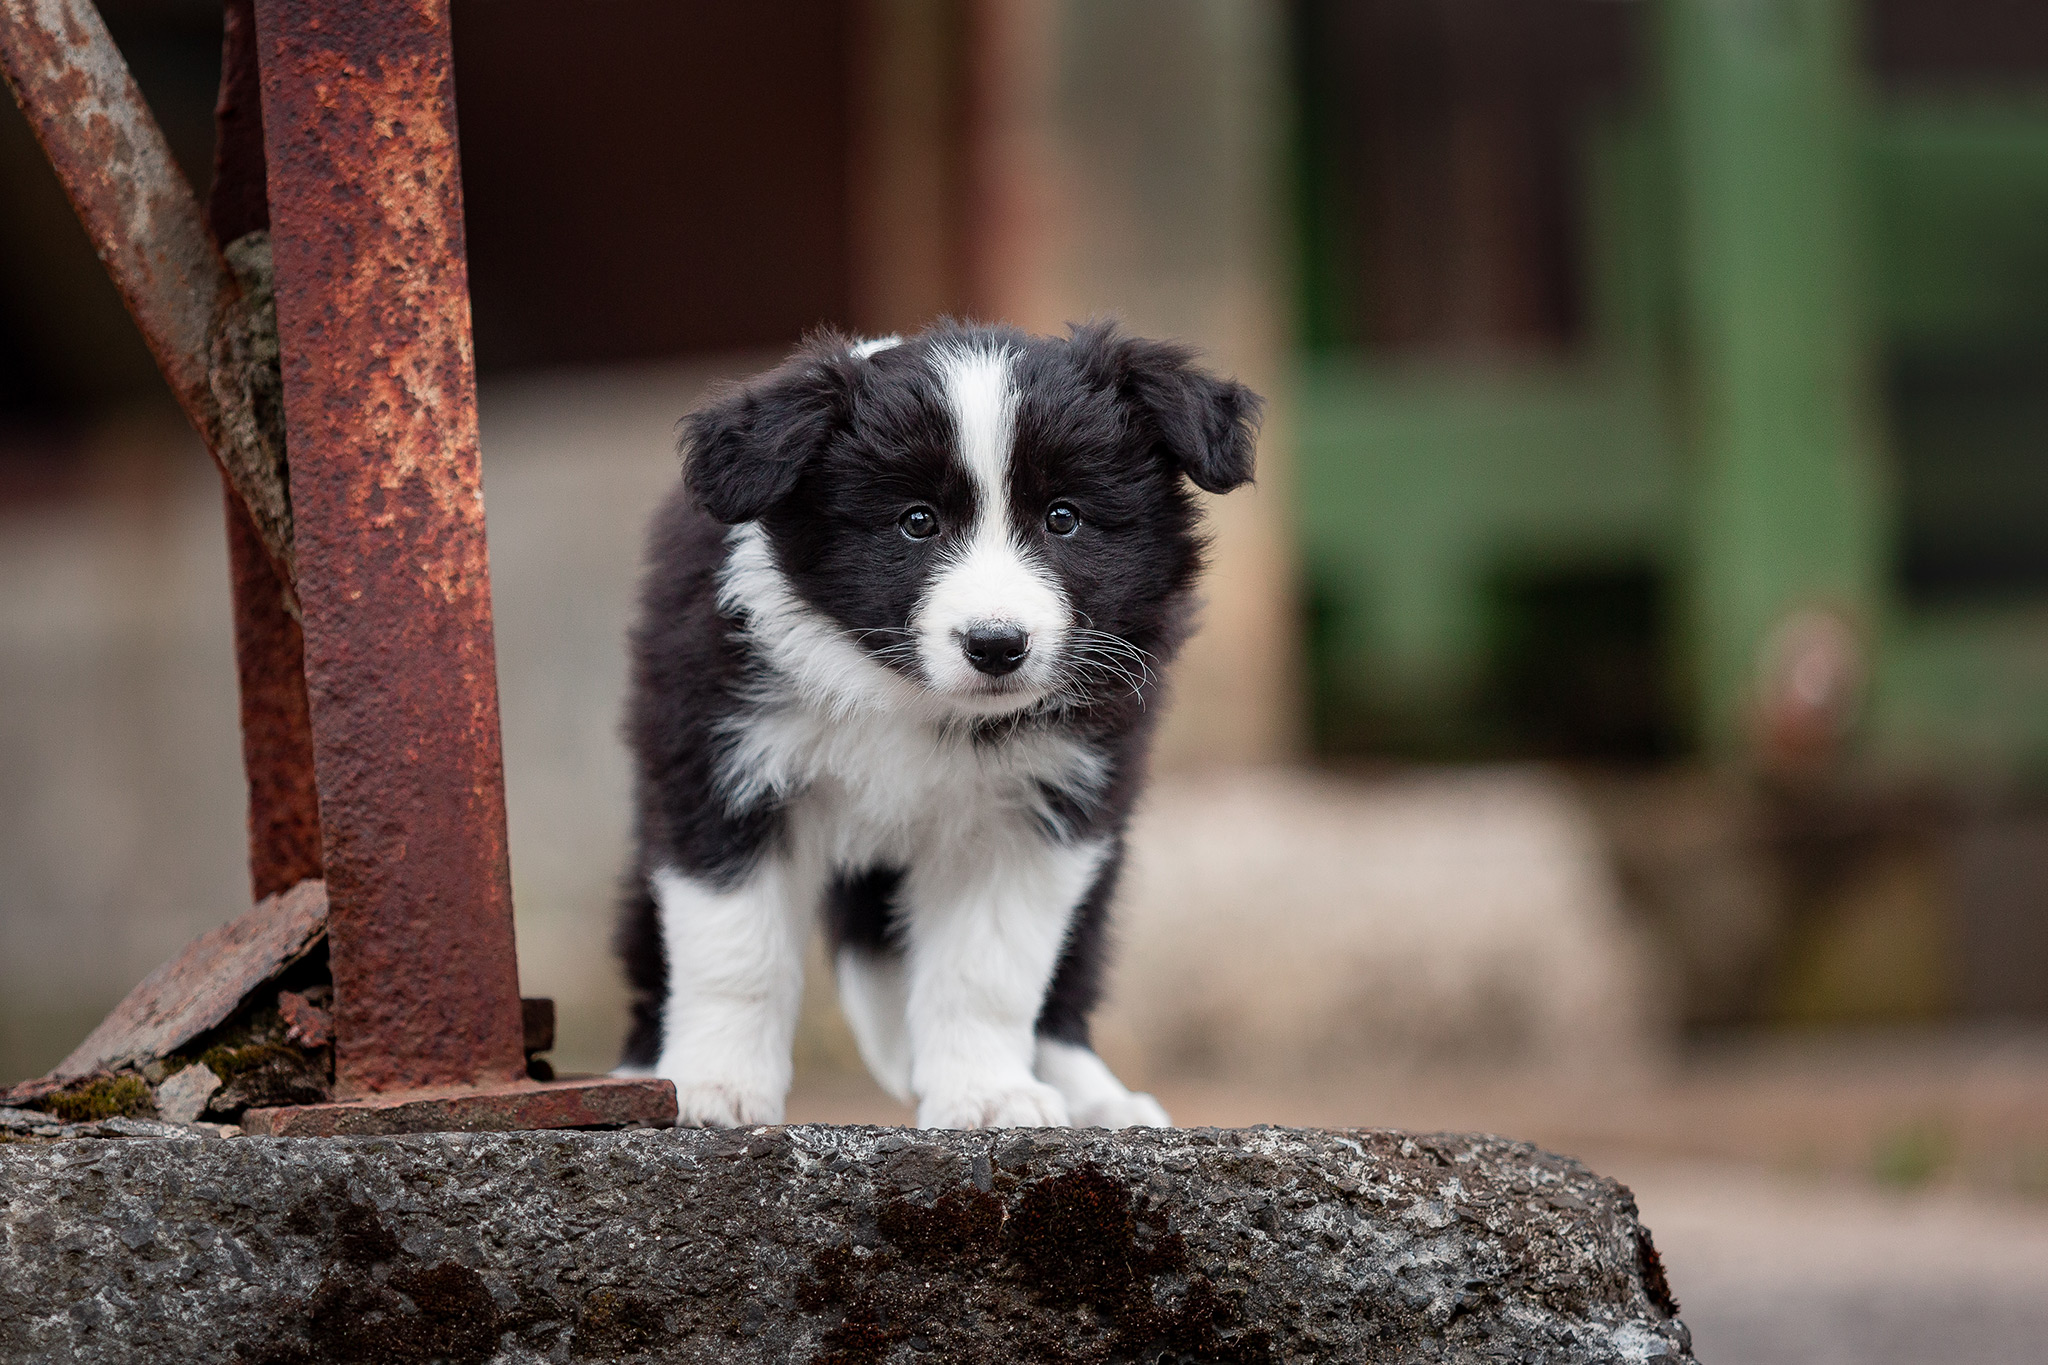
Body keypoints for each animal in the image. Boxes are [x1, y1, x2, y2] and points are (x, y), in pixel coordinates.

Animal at [618, 321, 1261, 1129]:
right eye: (916, 522)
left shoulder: (1044, 805)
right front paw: (715, 1087)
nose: (996, 644)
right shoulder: (716, 766)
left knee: (1068, 974)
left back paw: (1097, 1098)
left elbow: (987, 967)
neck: (910, 698)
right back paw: (641, 1076)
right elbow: (734, 948)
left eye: (1064, 517)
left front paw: (987, 1095)